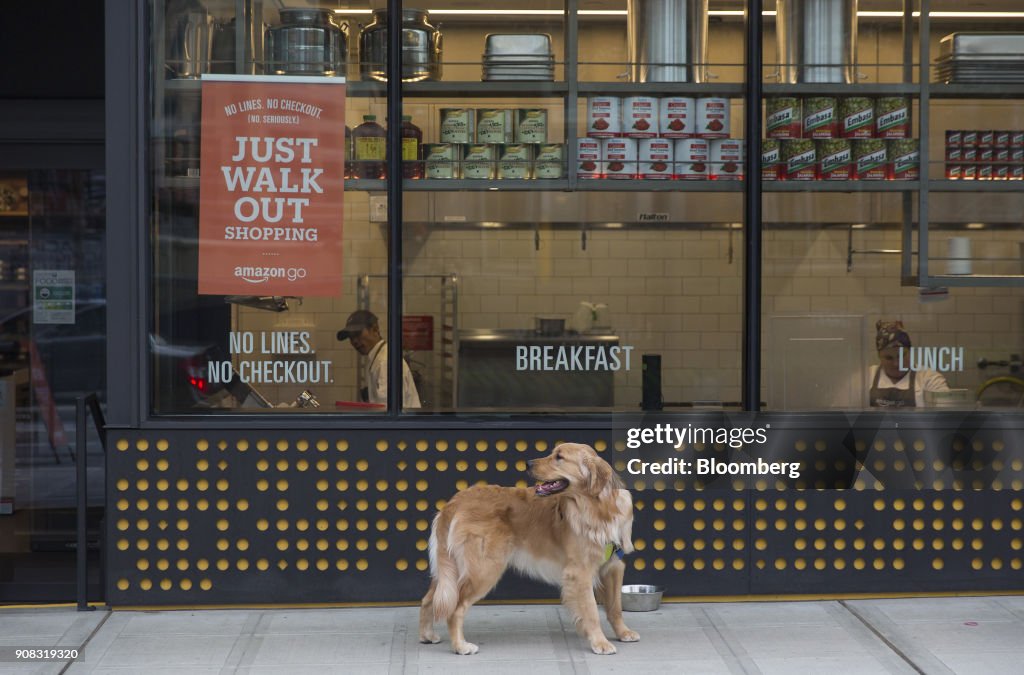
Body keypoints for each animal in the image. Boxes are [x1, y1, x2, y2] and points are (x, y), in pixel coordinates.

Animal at [419, 440, 634, 655]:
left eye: (559, 457)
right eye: (554, 454)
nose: (527, 463)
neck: (599, 508)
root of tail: (455, 502)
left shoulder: (613, 566)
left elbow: (615, 607)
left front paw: (623, 632)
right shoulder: (580, 572)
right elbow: (591, 611)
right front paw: (600, 642)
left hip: (450, 571)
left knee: (430, 599)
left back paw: (427, 635)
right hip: (484, 570)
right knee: (454, 609)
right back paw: (461, 646)